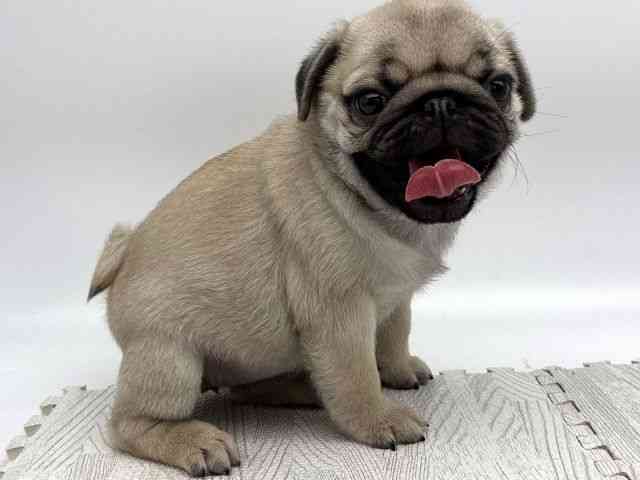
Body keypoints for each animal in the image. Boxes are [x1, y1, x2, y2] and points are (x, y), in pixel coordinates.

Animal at [88, 0, 535, 476]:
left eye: (499, 86)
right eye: (370, 101)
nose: (441, 103)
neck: (367, 202)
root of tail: (121, 262)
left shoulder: (396, 297)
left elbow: (396, 333)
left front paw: (397, 370)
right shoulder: (339, 312)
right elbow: (356, 374)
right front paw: (378, 418)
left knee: (243, 388)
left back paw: (301, 389)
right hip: (169, 355)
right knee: (129, 423)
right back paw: (192, 440)